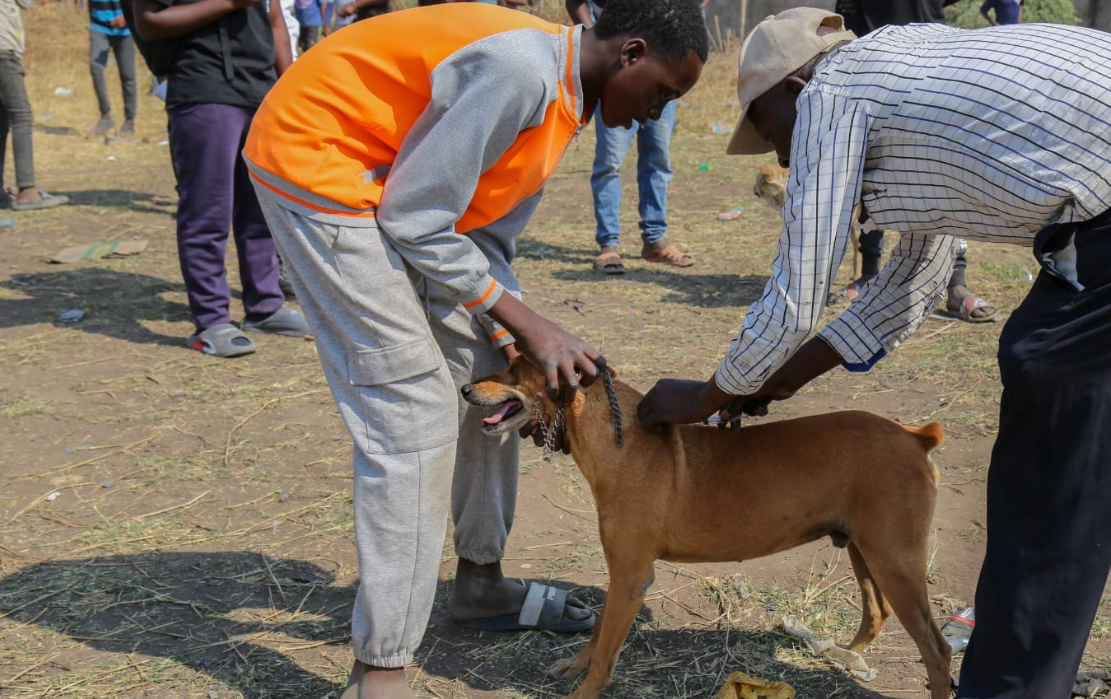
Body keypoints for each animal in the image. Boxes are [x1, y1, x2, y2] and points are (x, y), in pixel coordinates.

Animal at [462, 360, 955, 697]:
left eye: (513, 367)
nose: (466, 388)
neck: (616, 440)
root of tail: (916, 436)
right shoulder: (620, 575)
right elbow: (599, 633)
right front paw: (575, 666)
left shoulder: (631, 578)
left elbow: (605, 652)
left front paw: (585, 688)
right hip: (863, 549)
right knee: (877, 612)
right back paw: (840, 656)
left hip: (894, 559)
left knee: (937, 650)